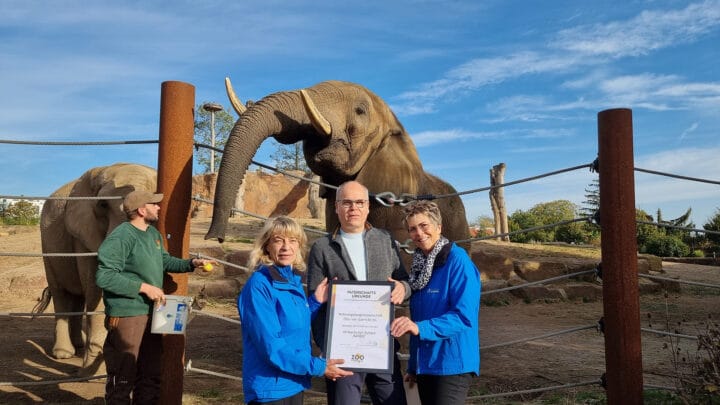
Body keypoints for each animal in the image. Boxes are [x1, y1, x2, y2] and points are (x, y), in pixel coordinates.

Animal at [36, 163, 158, 374]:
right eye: (102, 205)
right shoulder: (82, 233)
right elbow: (98, 288)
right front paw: (93, 373)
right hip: (48, 247)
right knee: (61, 294)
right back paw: (64, 354)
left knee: (77, 297)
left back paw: (78, 346)